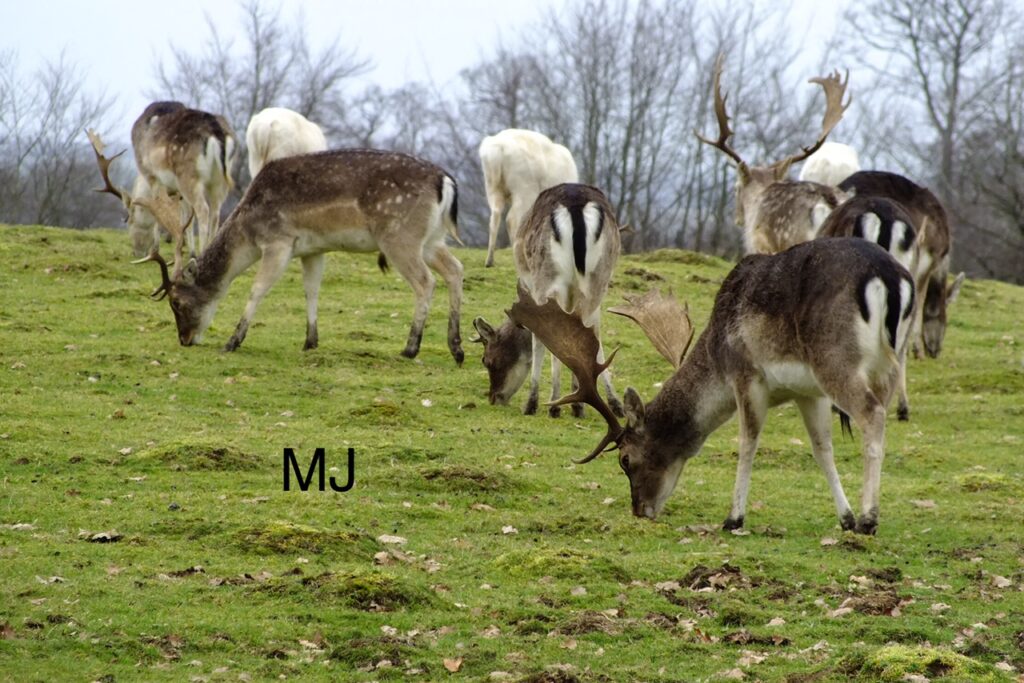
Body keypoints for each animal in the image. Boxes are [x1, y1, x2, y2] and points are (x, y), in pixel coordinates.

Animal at [130, 101, 237, 261]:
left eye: (130, 220)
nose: (136, 252)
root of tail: (216, 131)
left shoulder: (151, 175)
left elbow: (158, 209)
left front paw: (155, 249)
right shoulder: (178, 191)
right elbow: (186, 217)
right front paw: (189, 252)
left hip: (188, 175)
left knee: (203, 209)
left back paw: (202, 254)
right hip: (220, 180)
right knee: (215, 212)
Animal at [132, 148, 465, 363]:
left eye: (176, 302)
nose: (185, 339)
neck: (248, 227)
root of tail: (446, 182)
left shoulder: (278, 241)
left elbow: (257, 289)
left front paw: (232, 341)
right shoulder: (313, 249)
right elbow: (311, 290)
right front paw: (310, 341)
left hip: (399, 236)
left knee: (426, 281)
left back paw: (411, 348)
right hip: (431, 239)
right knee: (455, 270)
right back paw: (456, 347)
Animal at [473, 183, 622, 417]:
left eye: (487, 361)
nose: (494, 398)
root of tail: (576, 205)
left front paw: (551, 404)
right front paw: (586, 403)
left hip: (548, 277)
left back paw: (540, 403)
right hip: (598, 280)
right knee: (593, 332)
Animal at [479, 129, 579, 267]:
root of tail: (497, 149)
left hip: (492, 186)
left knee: (495, 216)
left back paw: (489, 260)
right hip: (524, 188)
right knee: (512, 219)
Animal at [510, 237, 916, 536]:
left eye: (625, 459)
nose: (640, 510)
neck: (716, 355)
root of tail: (891, 279)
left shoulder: (745, 373)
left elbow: (748, 442)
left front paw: (734, 518)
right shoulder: (807, 392)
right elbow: (822, 449)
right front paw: (844, 518)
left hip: (836, 358)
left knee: (871, 415)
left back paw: (870, 519)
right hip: (888, 364)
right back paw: (863, 515)